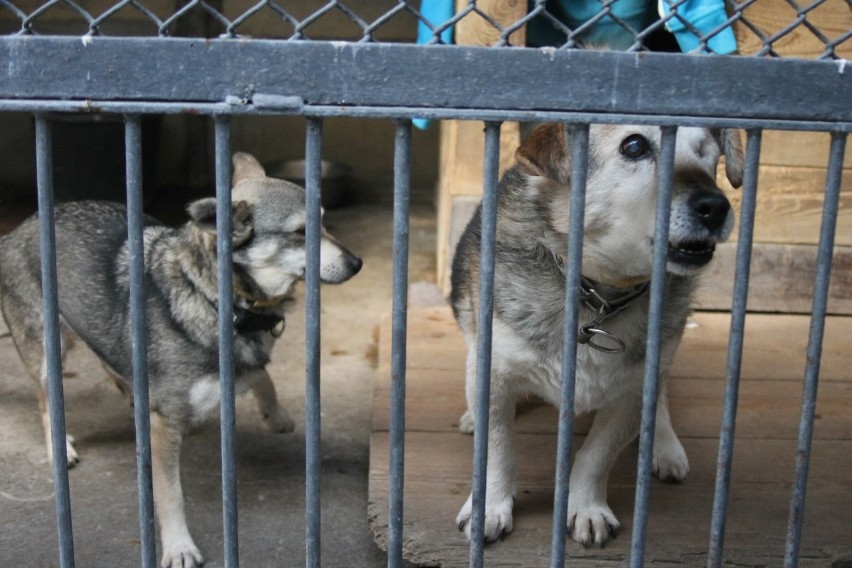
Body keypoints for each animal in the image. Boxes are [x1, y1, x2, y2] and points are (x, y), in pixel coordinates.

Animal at [0, 152, 362, 568]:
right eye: (302, 232)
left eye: (324, 222)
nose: (358, 263)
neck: (215, 297)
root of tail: (16, 231)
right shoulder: (166, 425)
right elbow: (171, 494)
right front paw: (179, 546)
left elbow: (258, 374)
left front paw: (275, 414)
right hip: (48, 353)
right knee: (46, 403)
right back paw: (61, 446)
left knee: (113, 365)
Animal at [452, 123, 740, 544]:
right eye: (634, 147)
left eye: (707, 153)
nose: (716, 206)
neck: (599, 296)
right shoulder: (494, 371)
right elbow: (498, 448)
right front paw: (489, 507)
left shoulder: (635, 389)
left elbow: (597, 455)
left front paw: (588, 508)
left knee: (662, 397)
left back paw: (664, 446)